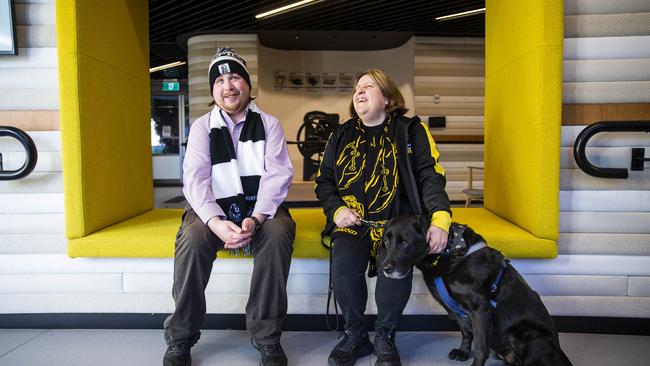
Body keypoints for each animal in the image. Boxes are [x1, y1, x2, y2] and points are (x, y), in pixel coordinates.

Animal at [378, 214, 568, 366]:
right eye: (386, 242)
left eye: (404, 243)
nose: (385, 268)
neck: (451, 252)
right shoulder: (459, 311)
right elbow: (466, 332)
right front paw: (463, 351)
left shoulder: (480, 308)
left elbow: (481, 347)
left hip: (531, 336)